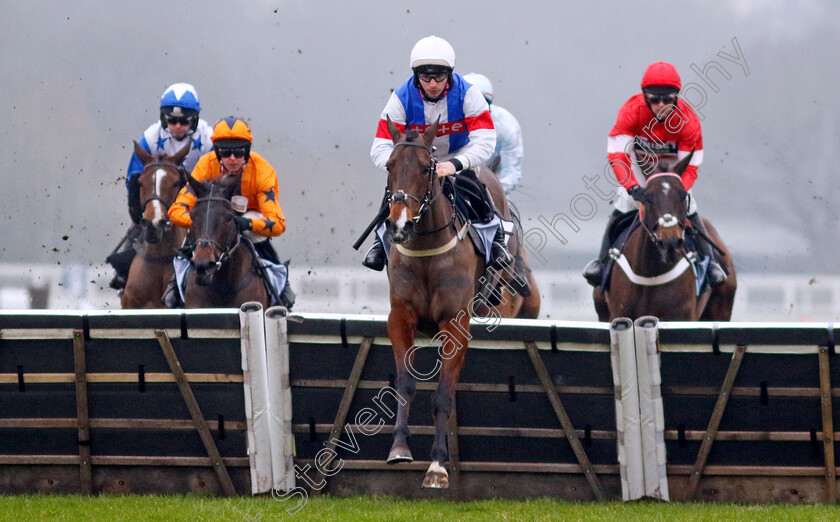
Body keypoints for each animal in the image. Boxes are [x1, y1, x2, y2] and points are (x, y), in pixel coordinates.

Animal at [384, 118, 540, 488]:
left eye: (426, 168)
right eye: (390, 166)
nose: (399, 224)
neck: (427, 250)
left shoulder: (456, 324)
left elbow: (443, 395)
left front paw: (437, 467)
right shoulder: (400, 318)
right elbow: (405, 383)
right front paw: (399, 448)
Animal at [592, 152, 740, 318]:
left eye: (683, 195)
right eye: (648, 197)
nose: (670, 242)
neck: (650, 276)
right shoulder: (619, 315)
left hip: (722, 308)